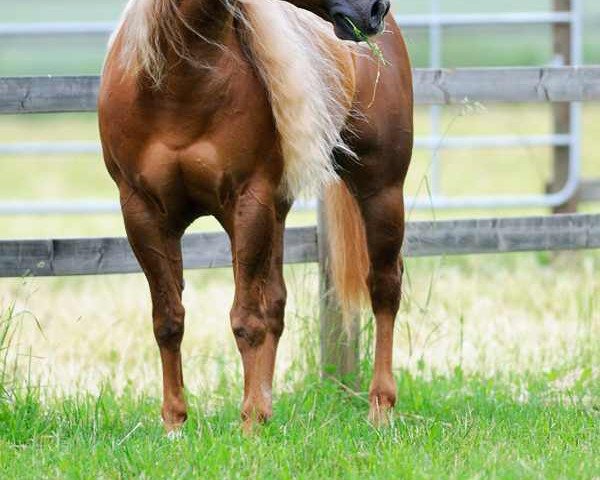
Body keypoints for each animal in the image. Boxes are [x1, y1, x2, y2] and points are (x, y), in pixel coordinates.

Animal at [99, 0, 412, 432]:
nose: (374, 10)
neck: (177, 83)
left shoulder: (249, 203)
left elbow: (247, 320)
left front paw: (249, 422)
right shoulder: (142, 212)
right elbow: (168, 320)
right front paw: (175, 423)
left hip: (381, 190)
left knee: (384, 289)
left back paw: (380, 408)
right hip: (278, 212)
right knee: (277, 304)